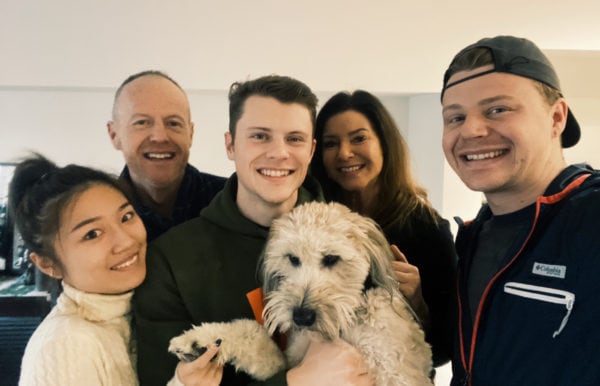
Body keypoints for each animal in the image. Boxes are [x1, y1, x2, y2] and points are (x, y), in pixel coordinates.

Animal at [169, 201, 432, 384]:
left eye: (331, 258)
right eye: (292, 258)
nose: (301, 317)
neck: (341, 324)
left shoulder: (395, 374)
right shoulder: (291, 360)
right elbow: (251, 333)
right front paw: (199, 341)